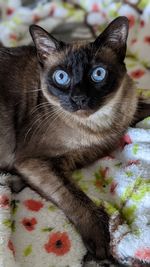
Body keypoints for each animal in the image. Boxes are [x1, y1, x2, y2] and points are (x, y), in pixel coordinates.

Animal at [0, 15, 149, 260]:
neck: (98, 128)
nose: (79, 98)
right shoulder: (35, 162)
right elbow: (76, 198)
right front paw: (102, 246)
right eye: (62, 77)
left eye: (98, 74)